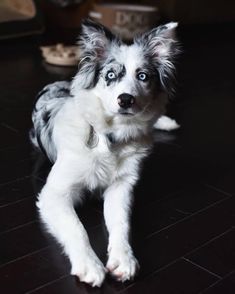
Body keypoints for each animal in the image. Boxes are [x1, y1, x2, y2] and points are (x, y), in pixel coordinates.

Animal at [30, 20, 179, 288]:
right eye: (110, 75)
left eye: (143, 76)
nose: (126, 100)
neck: (110, 139)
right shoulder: (53, 194)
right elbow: (76, 227)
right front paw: (90, 265)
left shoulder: (122, 187)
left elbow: (121, 223)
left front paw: (124, 259)